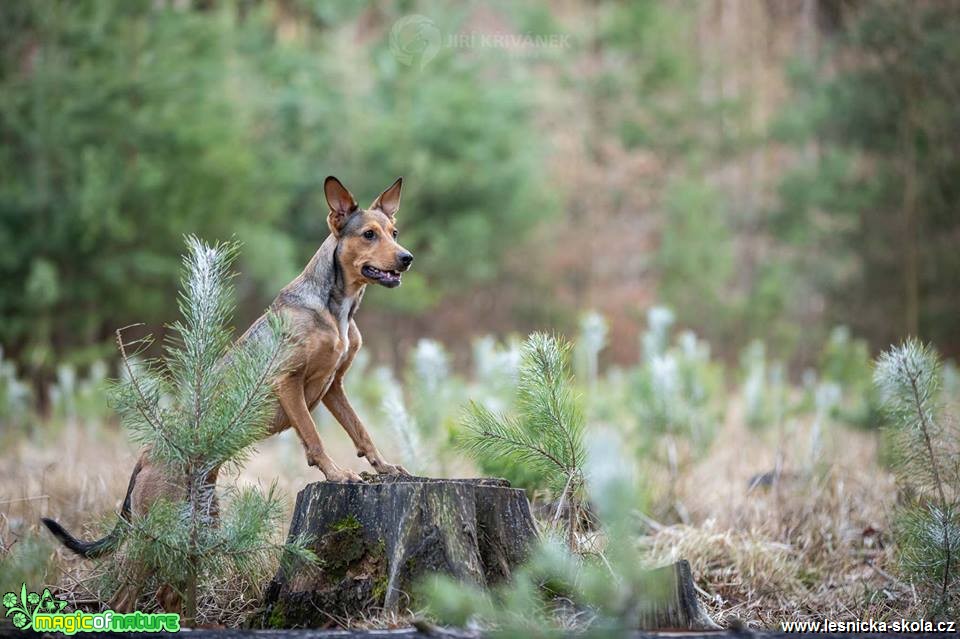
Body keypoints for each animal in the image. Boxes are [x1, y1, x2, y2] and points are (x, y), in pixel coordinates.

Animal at [41, 176, 412, 616]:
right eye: (368, 234)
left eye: (394, 233)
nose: (406, 258)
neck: (335, 308)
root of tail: (146, 455)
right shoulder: (287, 383)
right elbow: (315, 439)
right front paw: (337, 474)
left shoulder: (334, 387)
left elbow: (361, 432)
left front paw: (385, 467)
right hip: (152, 534)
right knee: (122, 597)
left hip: (197, 529)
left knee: (169, 594)